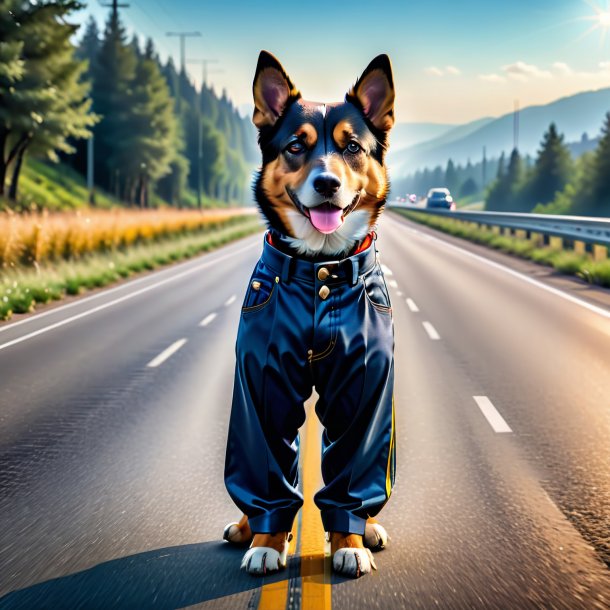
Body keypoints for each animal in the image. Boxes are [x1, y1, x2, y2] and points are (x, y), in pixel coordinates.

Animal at [223, 51, 394, 576]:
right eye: (297, 146)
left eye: (353, 147)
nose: (327, 182)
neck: (320, 266)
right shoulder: (261, 384)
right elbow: (266, 465)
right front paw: (266, 542)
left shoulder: (367, 387)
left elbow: (354, 468)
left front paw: (350, 543)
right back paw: (246, 527)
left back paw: (370, 527)